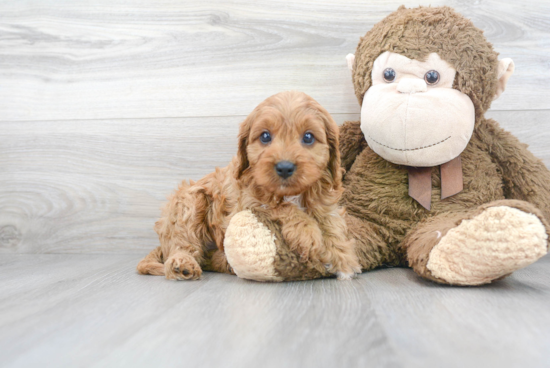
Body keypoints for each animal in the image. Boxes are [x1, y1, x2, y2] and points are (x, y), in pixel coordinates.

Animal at [138, 90, 362, 280]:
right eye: (265, 136)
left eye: (308, 137)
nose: (284, 167)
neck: (290, 192)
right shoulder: (245, 203)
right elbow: (281, 206)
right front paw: (308, 232)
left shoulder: (323, 197)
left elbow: (329, 220)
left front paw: (342, 255)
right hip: (189, 204)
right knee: (182, 243)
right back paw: (182, 263)